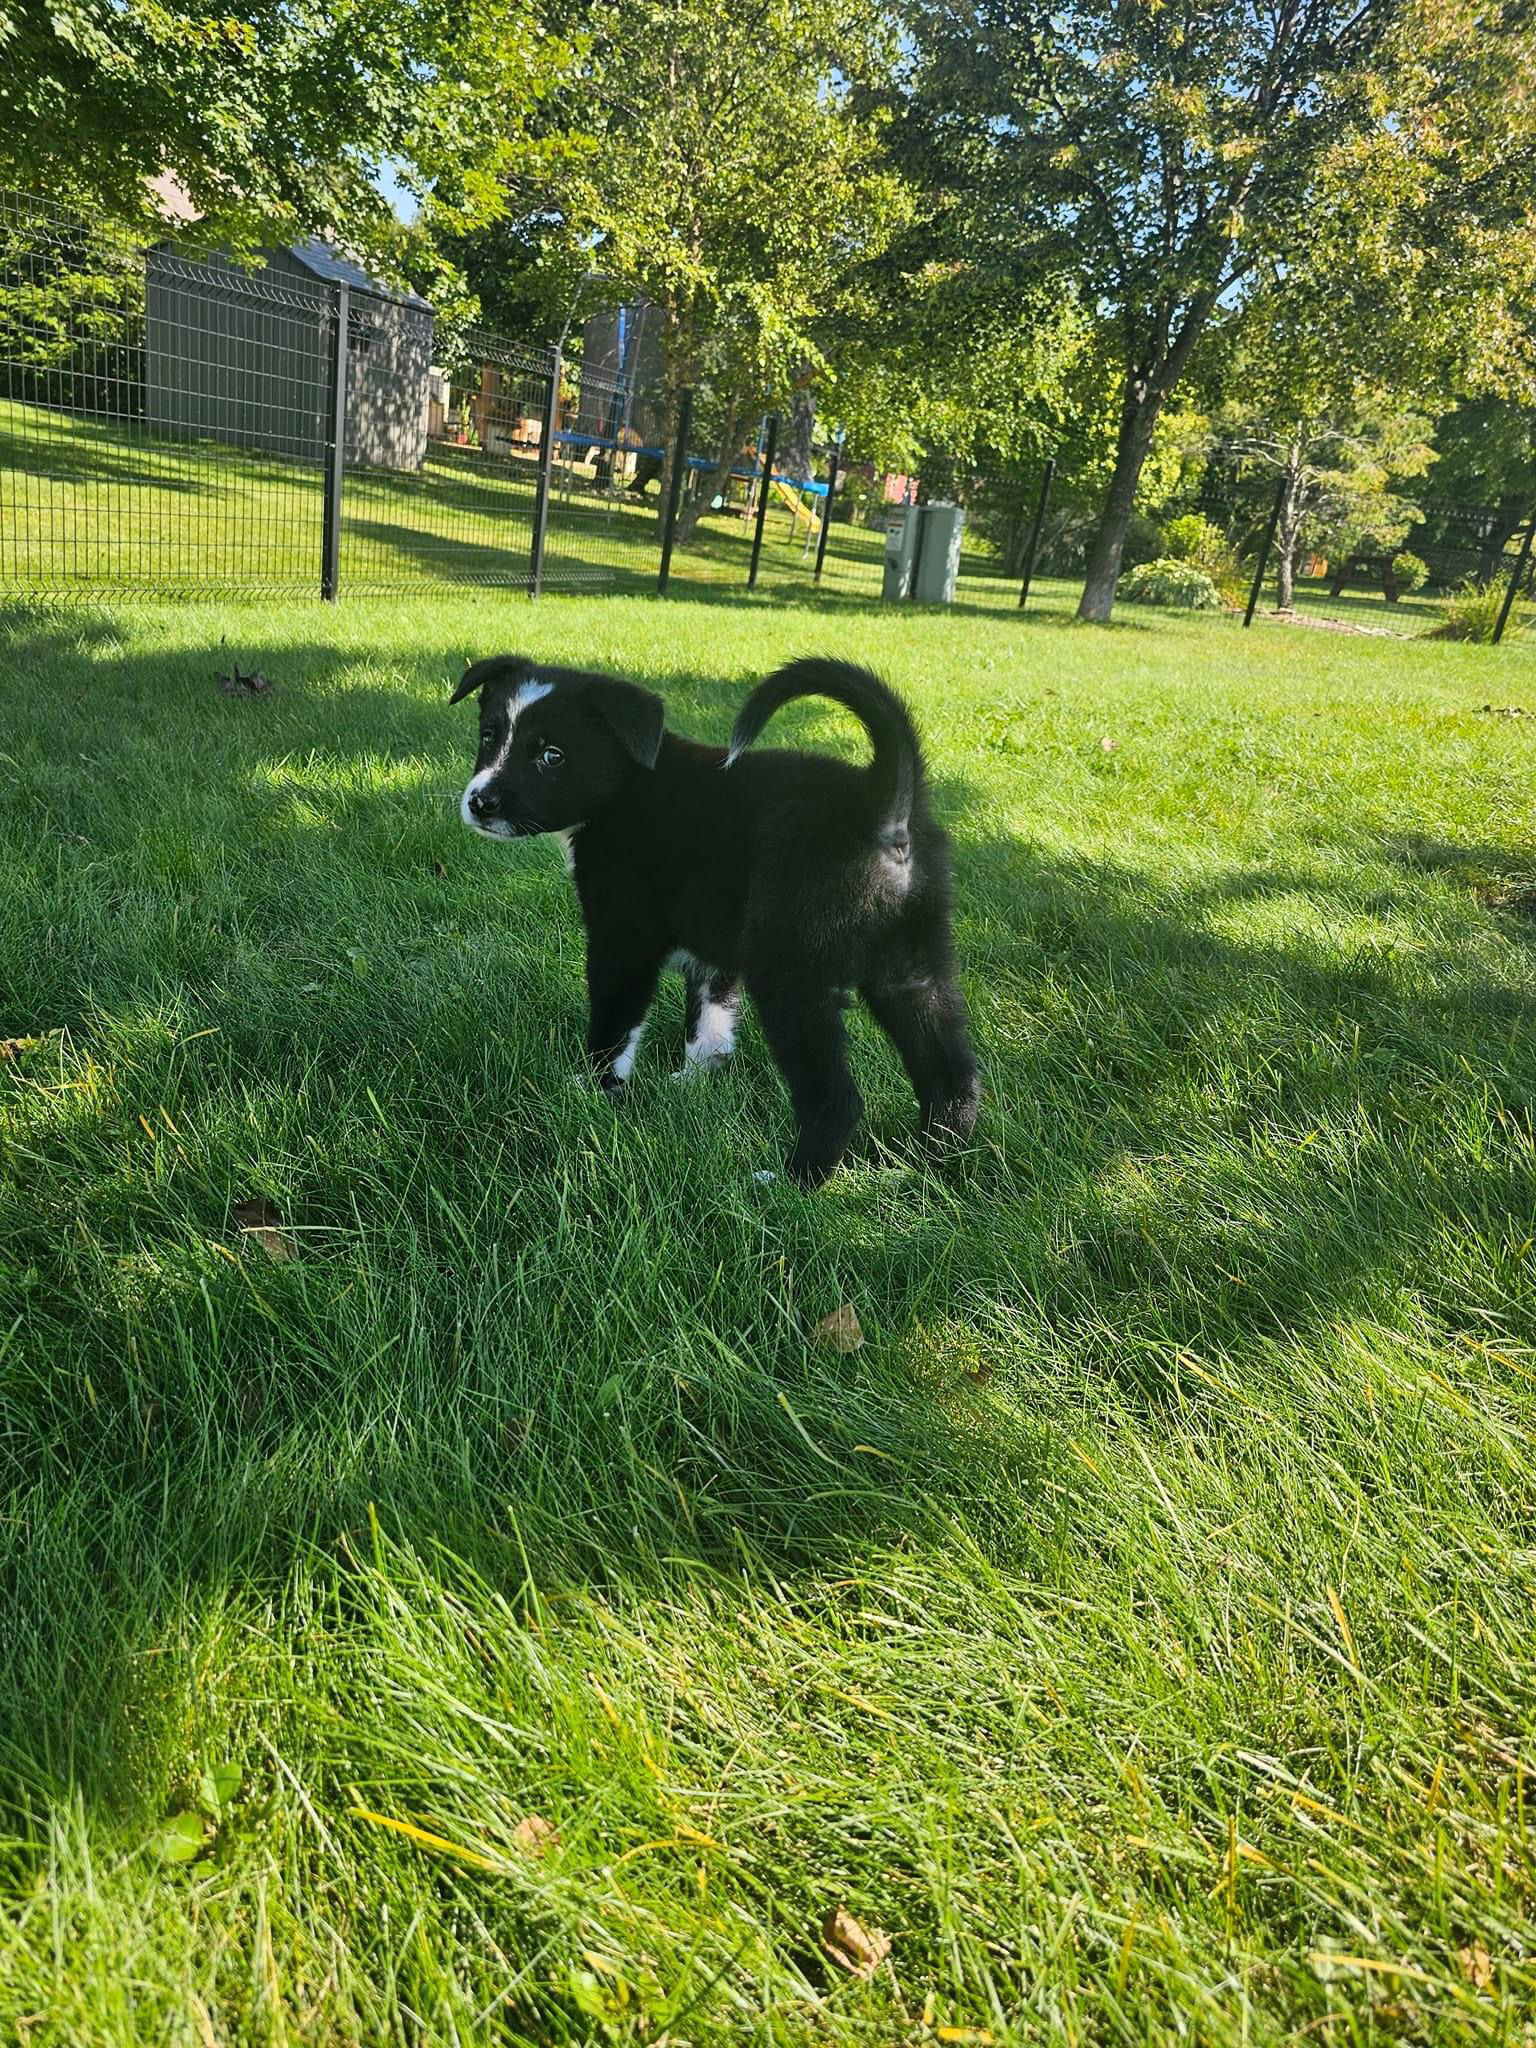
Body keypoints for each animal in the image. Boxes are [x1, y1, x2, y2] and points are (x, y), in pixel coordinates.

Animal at [454, 655, 987, 1187]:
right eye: (488, 736)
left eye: (552, 756)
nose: (480, 802)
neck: (627, 785)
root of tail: (883, 803)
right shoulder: (714, 954)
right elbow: (709, 1026)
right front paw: (689, 1086)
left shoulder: (623, 941)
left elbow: (615, 1026)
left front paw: (594, 1094)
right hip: (912, 969)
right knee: (953, 1075)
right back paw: (930, 1161)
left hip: (789, 972)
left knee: (837, 1097)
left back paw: (792, 1182)